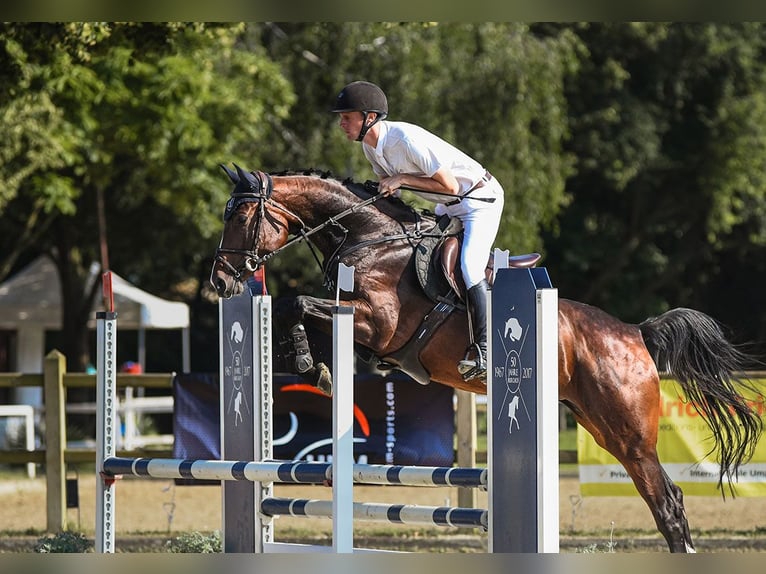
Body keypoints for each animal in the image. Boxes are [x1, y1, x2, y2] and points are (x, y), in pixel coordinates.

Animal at [212, 164, 766, 552]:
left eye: (239, 216)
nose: (221, 282)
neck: (370, 239)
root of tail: (633, 332)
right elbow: (297, 308)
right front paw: (312, 364)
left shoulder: (379, 324)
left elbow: (296, 302)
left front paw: (311, 364)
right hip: (600, 426)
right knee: (666, 500)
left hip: (629, 433)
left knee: (667, 503)